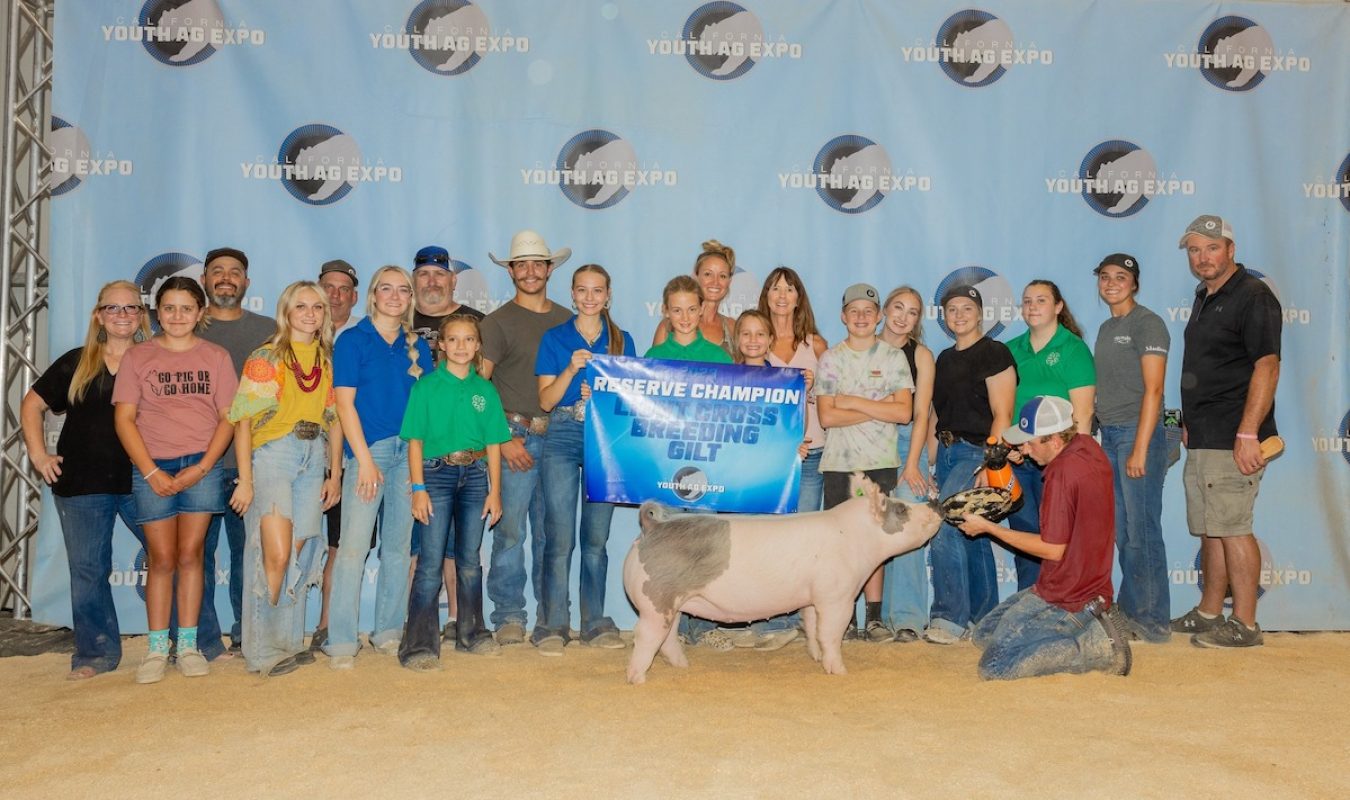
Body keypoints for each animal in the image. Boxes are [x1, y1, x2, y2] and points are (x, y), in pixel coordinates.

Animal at [621, 472, 939, 682]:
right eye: (901, 509)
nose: (934, 503)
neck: (855, 538)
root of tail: (651, 527)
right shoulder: (837, 596)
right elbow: (831, 633)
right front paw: (839, 672)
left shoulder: (811, 598)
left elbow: (812, 628)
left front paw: (816, 658)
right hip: (655, 601)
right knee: (645, 636)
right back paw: (637, 679)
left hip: (672, 603)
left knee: (668, 638)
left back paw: (683, 667)